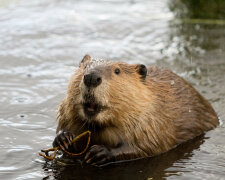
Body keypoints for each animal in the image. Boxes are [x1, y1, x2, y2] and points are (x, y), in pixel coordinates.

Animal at [52, 54, 218, 165]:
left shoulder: (151, 119)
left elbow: (147, 146)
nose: (92, 77)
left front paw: (99, 152)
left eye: (117, 71)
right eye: (85, 67)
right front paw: (63, 138)